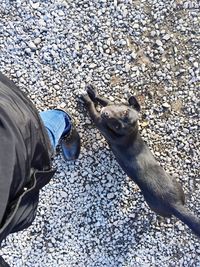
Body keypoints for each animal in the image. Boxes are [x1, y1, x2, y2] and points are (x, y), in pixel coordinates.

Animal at [81, 85, 200, 238]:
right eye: (124, 111)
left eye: (118, 126)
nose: (106, 114)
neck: (130, 134)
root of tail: (176, 204)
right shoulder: (110, 105)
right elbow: (104, 100)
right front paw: (92, 91)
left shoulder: (100, 122)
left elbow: (93, 110)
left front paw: (86, 99)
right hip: (178, 186)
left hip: (153, 205)